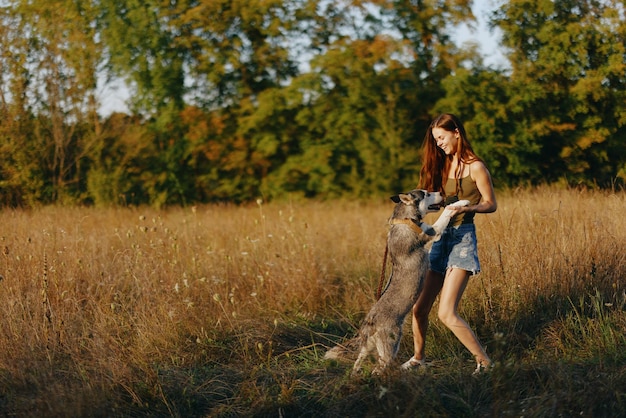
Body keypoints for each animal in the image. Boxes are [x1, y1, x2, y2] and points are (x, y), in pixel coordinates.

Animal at [324, 189, 466, 376]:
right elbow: (444, 215)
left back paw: (355, 375)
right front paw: (461, 203)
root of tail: (369, 322)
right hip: (391, 344)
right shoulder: (430, 233)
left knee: (358, 360)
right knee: (378, 367)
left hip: (368, 347)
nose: (441, 192)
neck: (405, 220)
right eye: (426, 194)